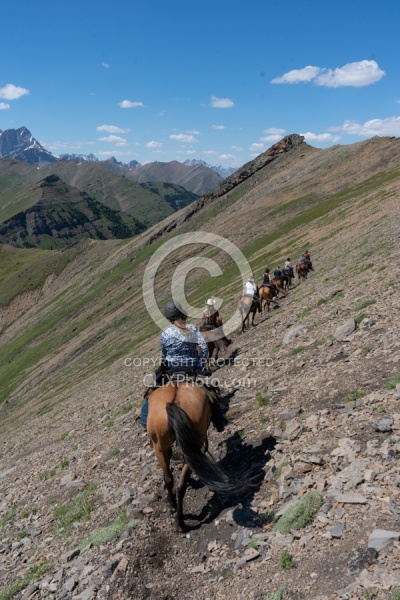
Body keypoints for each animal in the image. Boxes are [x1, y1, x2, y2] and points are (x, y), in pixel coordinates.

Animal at [147, 382, 253, 528]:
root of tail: (172, 403)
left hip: (161, 448)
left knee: (172, 481)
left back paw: (174, 510)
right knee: (178, 483)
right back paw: (180, 520)